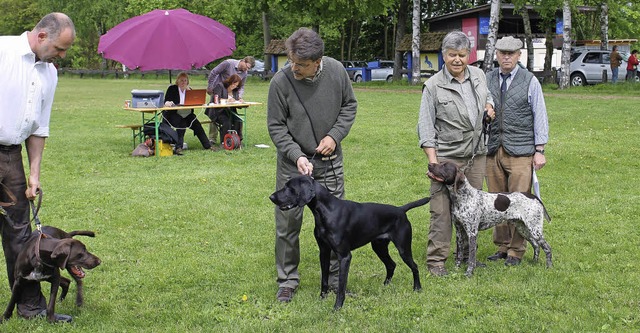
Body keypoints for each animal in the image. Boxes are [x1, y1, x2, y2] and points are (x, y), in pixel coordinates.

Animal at [270, 176, 430, 308]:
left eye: (290, 188)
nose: (271, 197)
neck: (326, 211)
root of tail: (401, 210)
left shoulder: (344, 256)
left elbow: (341, 284)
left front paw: (337, 307)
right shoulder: (324, 252)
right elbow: (324, 279)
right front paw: (322, 299)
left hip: (403, 248)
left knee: (414, 266)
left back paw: (417, 288)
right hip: (379, 247)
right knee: (391, 265)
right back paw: (385, 286)